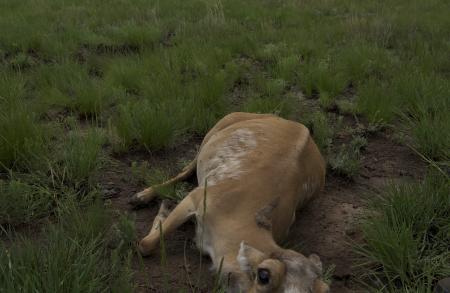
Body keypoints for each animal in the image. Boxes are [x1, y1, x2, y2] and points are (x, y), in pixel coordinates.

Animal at [128, 110, 328, 290]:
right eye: (264, 275)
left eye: (324, 289)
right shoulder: (197, 197)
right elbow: (145, 244)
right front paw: (163, 209)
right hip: (217, 128)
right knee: (188, 168)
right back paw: (140, 196)